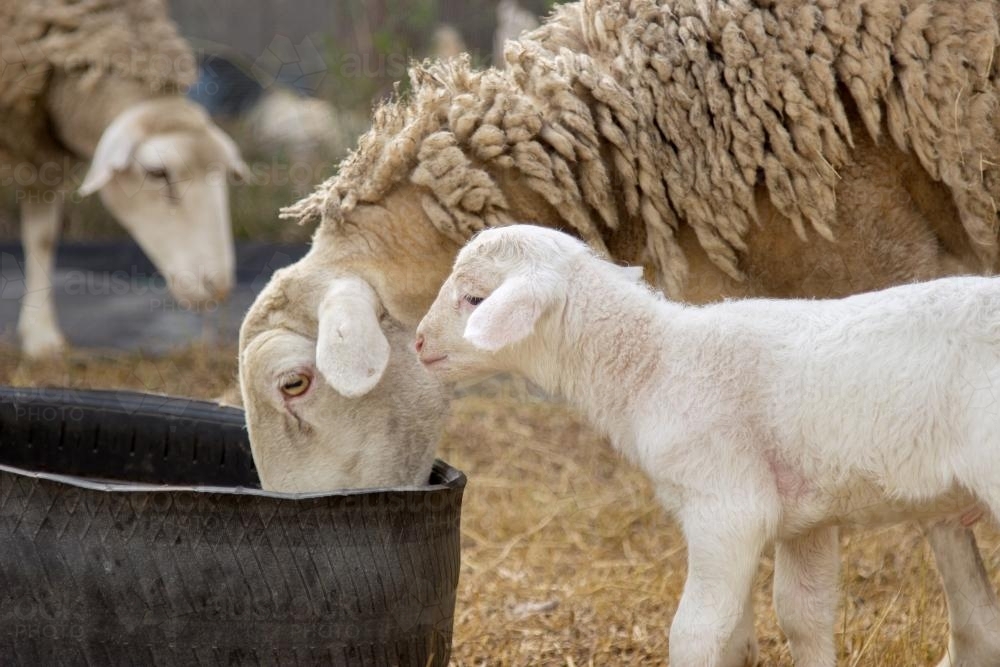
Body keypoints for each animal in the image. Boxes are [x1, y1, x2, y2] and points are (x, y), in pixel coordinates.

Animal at [414, 224, 1000, 667]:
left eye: (475, 298)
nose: (418, 342)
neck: (653, 364)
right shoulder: (807, 518)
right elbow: (799, 618)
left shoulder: (728, 508)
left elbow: (696, 633)